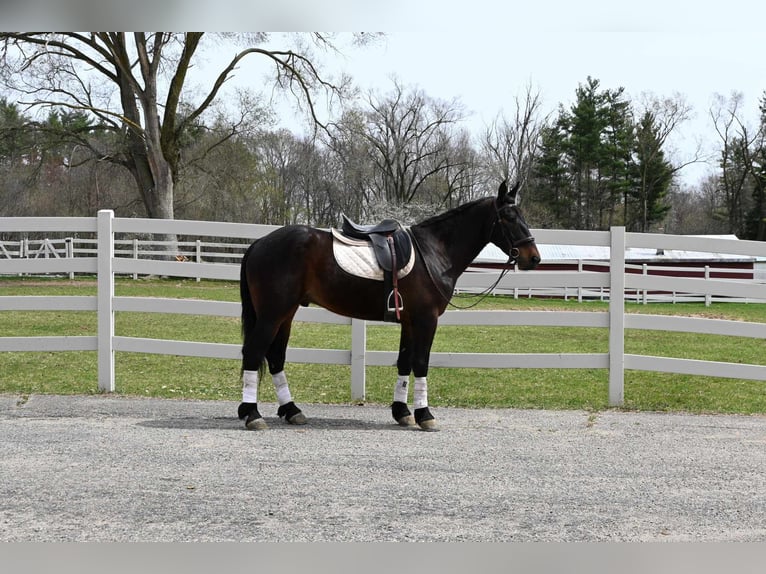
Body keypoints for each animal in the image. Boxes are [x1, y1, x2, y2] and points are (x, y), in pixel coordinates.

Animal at [237, 181, 544, 432]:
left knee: (276, 357)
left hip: (286, 314)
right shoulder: (426, 320)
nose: (534, 258)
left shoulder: (409, 322)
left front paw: (402, 412)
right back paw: (253, 415)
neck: (433, 251)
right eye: (508, 217)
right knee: (254, 352)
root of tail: (258, 243)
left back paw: (291, 410)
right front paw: (425, 415)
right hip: (272, 314)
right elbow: (421, 363)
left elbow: (404, 362)